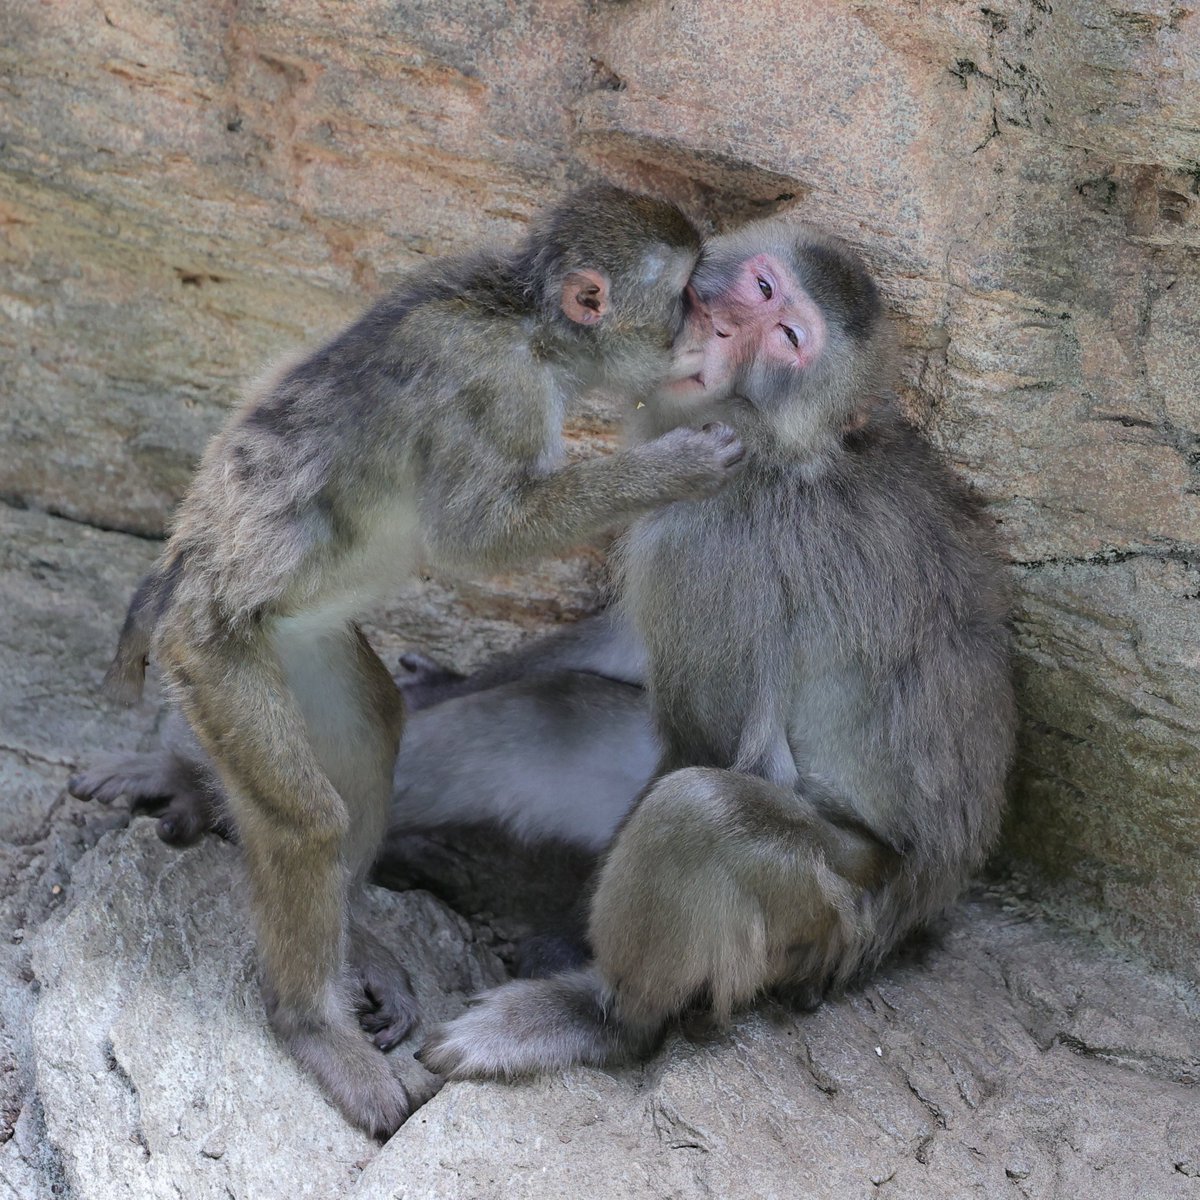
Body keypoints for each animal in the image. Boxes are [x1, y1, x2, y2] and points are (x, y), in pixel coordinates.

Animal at [97, 185, 746, 1136]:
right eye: (690, 297)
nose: (714, 328)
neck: (527, 321)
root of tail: (180, 578)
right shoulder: (498, 389)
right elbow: (478, 537)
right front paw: (680, 466)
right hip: (212, 654)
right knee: (305, 819)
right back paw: (313, 1025)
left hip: (294, 643)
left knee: (372, 729)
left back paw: (354, 936)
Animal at [415, 218, 1017, 1081]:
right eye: (763, 288)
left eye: (790, 339)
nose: (727, 325)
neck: (777, 449)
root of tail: (917, 912)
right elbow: (625, 641)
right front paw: (435, 685)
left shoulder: (706, 532)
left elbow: (712, 748)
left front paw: (567, 946)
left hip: (822, 921)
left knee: (699, 811)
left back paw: (604, 1018)